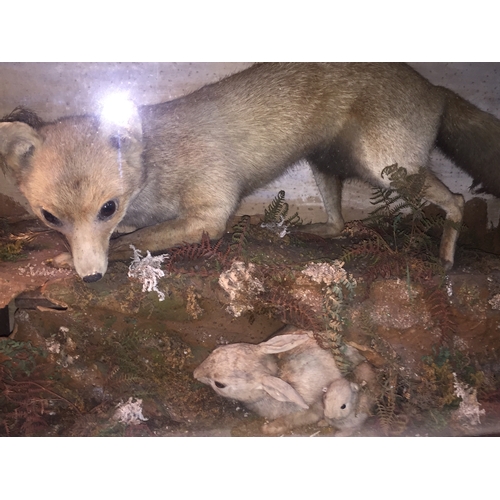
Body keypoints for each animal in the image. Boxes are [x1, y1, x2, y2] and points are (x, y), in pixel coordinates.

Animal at [0, 62, 500, 282]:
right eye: (49, 218)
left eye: (107, 207)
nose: (91, 278)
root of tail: (434, 87)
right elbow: (130, 237)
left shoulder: (209, 214)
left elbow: (136, 241)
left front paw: (70, 261)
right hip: (327, 167)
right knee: (339, 223)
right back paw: (323, 232)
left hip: (391, 169)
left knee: (456, 202)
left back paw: (447, 256)